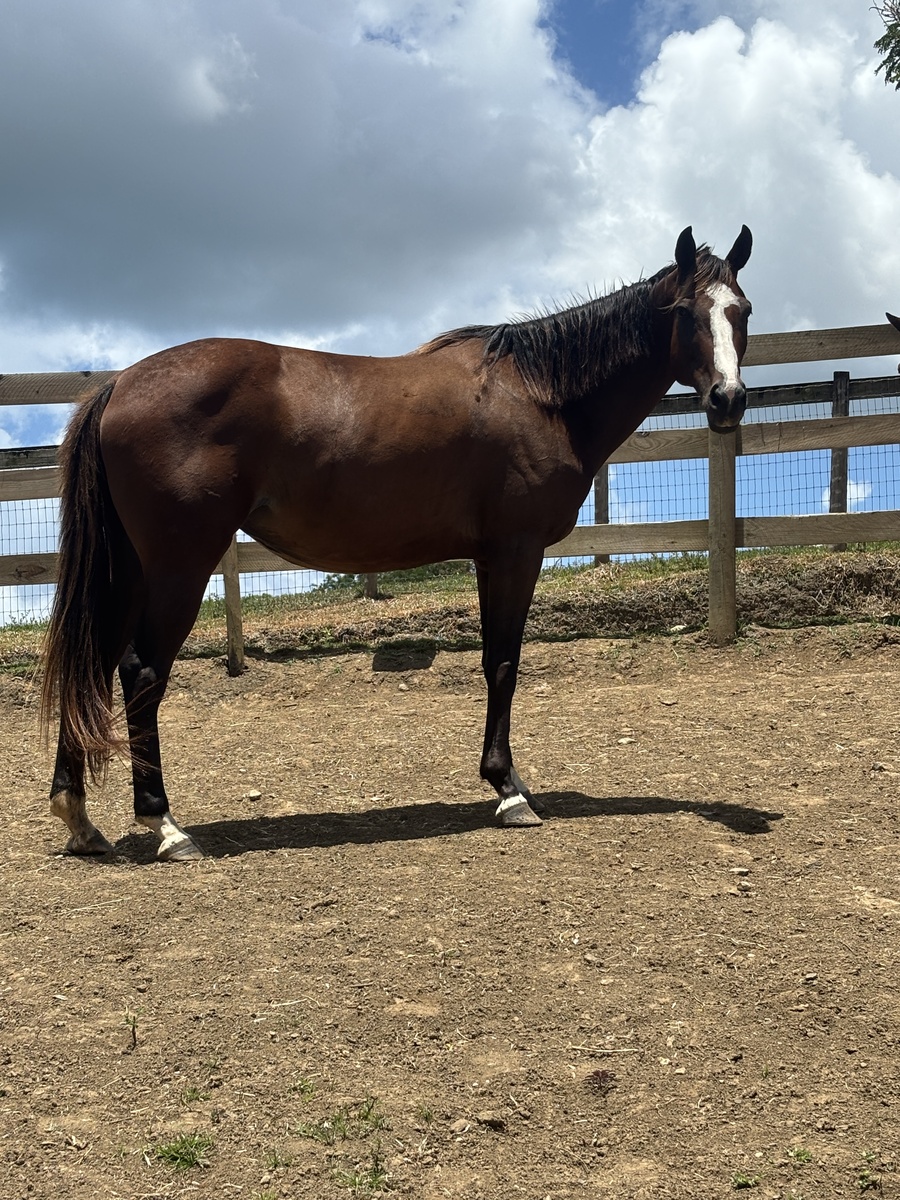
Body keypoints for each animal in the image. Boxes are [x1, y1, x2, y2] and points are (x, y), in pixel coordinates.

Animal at [41, 225, 753, 861]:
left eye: (740, 311)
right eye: (685, 313)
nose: (729, 399)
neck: (540, 394)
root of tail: (119, 384)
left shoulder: (489, 556)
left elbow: (494, 661)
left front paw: (503, 782)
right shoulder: (517, 551)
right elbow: (505, 663)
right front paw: (510, 792)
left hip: (130, 570)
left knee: (94, 663)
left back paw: (80, 819)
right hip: (178, 565)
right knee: (140, 671)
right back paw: (166, 827)